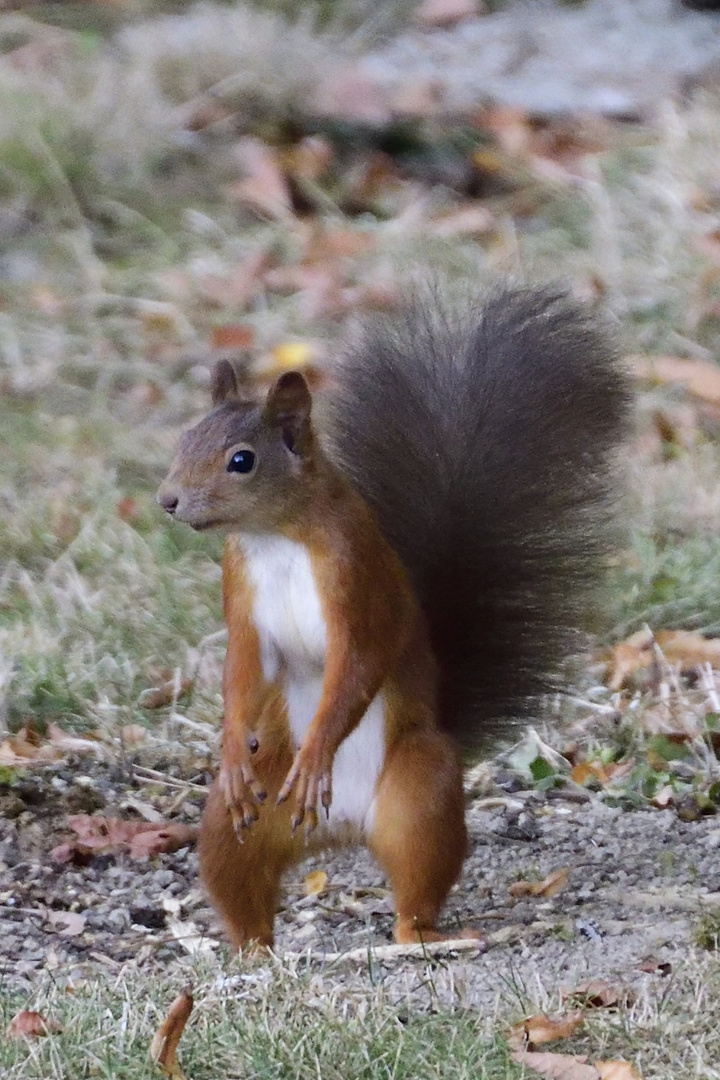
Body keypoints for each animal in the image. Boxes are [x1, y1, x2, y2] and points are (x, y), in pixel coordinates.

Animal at [157, 285, 630, 946]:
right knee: (238, 872)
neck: (275, 537)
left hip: (419, 792)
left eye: (242, 460)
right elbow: (244, 671)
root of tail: (346, 829)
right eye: (183, 440)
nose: (168, 500)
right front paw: (229, 752)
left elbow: (358, 663)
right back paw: (252, 948)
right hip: (244, 820)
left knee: (418, 875)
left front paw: (317, 754)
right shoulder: (241, 592)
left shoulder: (356, 578)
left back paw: (418, 938)